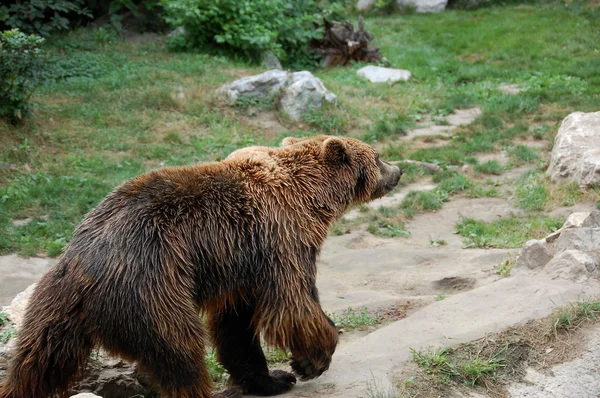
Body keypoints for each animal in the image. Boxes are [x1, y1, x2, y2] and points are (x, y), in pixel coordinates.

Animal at [1, 135, 404, 396]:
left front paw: (271, 378)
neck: (311, 196)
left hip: (50, 309)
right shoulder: (279, 238)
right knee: (180, 353)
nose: (399, 170)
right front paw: (309, 362)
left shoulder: (240, 266)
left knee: (35, 364)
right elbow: (295, 303)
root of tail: (82, 268)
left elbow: (237, 327)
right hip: (152, 287)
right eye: (378, 156)